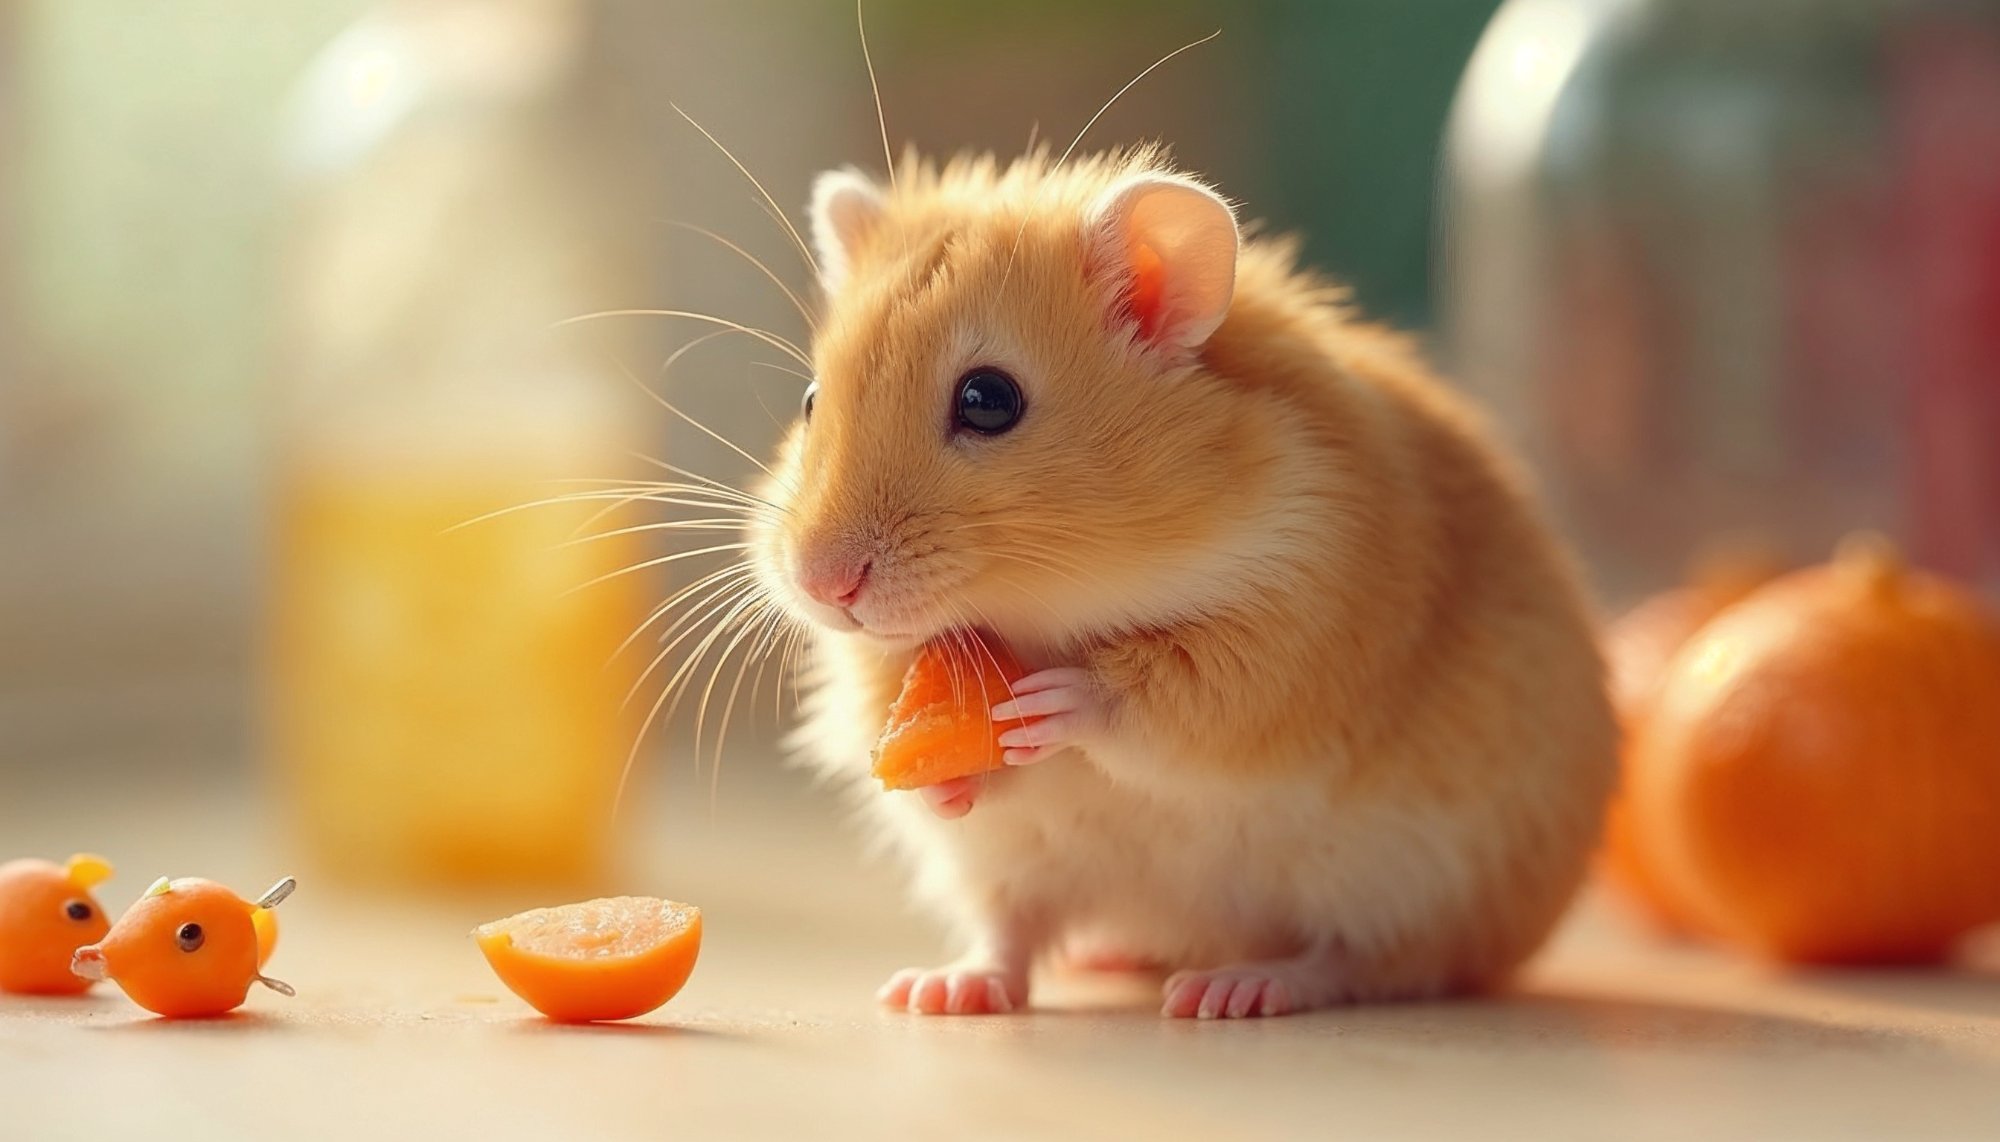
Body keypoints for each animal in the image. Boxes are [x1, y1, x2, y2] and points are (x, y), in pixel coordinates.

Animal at [748, 145, 1617, 1018]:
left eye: (988, 399)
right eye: (812, 400)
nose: (823, 585)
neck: (1049, 607)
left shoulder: (1298, 625)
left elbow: (1168, 696)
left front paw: (1047, 702)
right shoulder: (876, 671)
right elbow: (898, 724)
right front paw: (947, 779)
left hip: (1415, 883)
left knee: (1359, 959)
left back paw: (1229, 990)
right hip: (1000, 868)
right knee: (1011, 934)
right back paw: (947, 989)